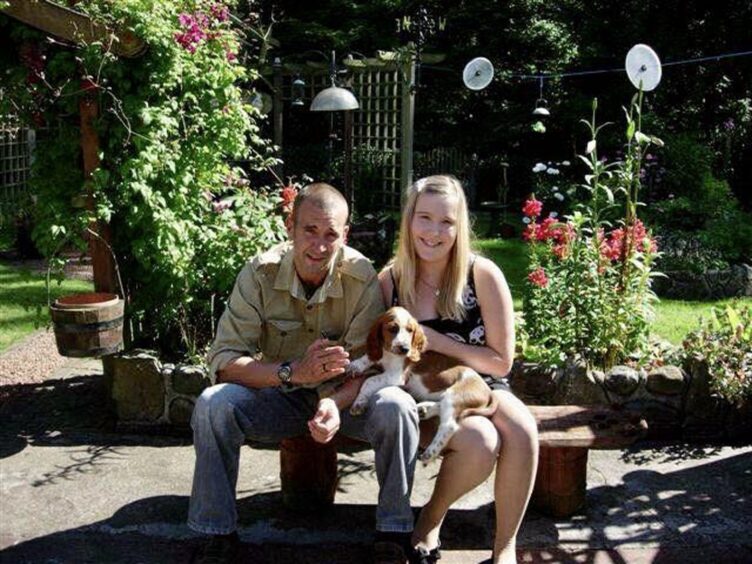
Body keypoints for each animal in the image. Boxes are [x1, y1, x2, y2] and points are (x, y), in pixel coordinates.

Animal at [348, 308, 500, 462]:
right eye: (392, 329)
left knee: (449, 425)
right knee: (442, 407)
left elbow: (369, 381)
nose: (405, 349)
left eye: (410, 330)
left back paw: (430, 452)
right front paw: (356, 366)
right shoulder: (380, 357)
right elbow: (368, 358)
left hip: (455, 395)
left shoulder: (396, 376)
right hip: (449, 397)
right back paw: (424, 409)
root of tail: (488, 391)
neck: (388, 354)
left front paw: (358, 402)